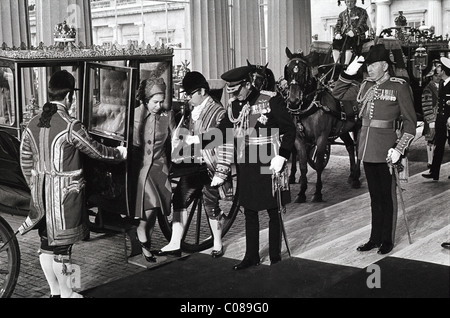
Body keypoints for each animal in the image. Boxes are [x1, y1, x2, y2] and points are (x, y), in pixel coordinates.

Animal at [284, 47, 364, 202]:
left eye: (303, 71)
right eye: (288, 70)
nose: (293, 101)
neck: (309, 106)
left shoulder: (321, 138)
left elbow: (320, 163)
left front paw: (317, 192)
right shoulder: (299, 139)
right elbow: (303, 165)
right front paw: (301, 192)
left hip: (359, 127)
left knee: (359, 149)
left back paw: (357, 178)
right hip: (343, 129)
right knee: (350, 146)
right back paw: (352, 175)